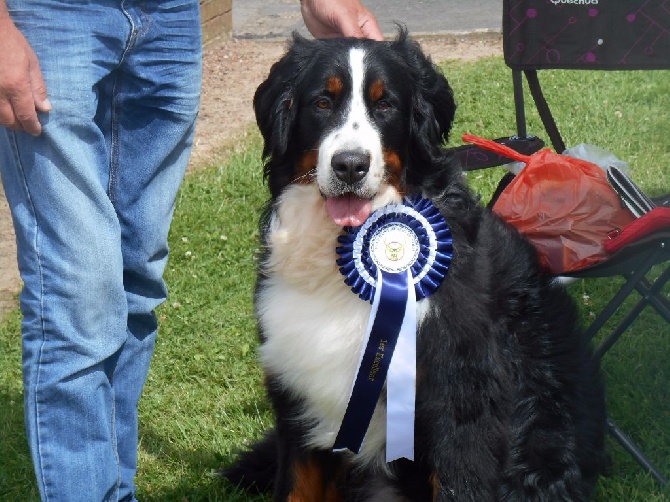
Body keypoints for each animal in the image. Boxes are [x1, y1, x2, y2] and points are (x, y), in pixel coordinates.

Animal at [224, 30, 608, 498]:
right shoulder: (300, 402)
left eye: (385, 104)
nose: (350, 165)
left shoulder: (460, 404)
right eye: (322, 102)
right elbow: (296, 487)